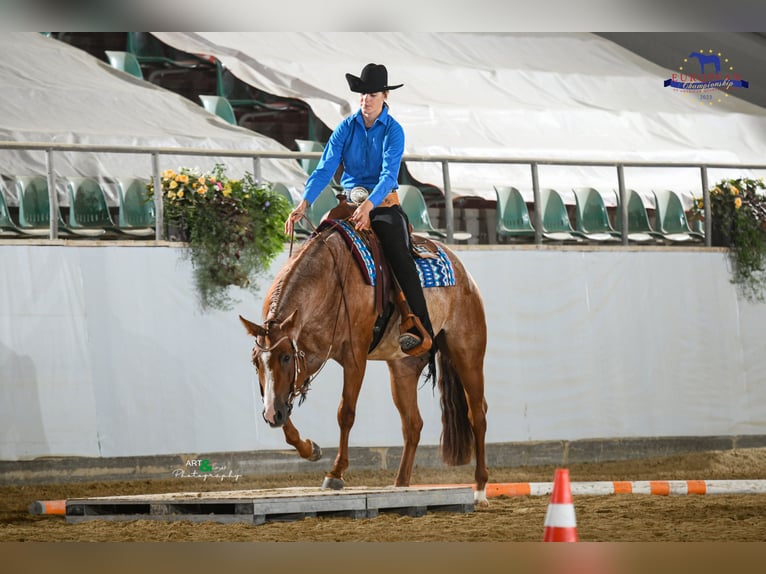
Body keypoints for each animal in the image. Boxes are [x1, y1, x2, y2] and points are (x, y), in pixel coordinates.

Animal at [242, 223, 492, 506]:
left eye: (285, 357)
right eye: (256, 362)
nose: (270, 416)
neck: (329, 278)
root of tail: (463, 274)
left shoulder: (354, 358)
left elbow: (345, 413)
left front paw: (336, 473)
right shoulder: (308, 358)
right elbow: (283, 405)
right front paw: (310, 448)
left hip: (467, 354)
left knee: (477, 415)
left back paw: (480, 489)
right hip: (402, 368)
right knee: (413, 424)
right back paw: (400, 486)